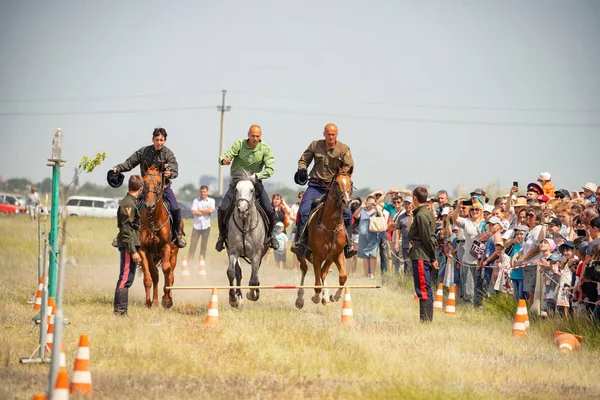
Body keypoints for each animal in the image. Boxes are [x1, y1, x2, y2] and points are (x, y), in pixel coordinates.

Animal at [139, 164, 178, 308]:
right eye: (144, 182)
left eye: (159, 182)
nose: (150, 205)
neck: (153, 220)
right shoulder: (143, 250)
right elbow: (149, 277)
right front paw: (149, 302)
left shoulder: (166, 246)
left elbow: (166, 270)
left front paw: (166, 300)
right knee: (155, 274)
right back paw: (155, 301)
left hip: (174, 251)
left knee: (171, 275)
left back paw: (168, 299)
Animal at [294, 166, 352, 310]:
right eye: (336, 183)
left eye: (351, 183)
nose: (346, 201)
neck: (330, 226)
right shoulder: (317, 256)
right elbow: (317, 284)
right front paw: (316, 297)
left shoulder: (337, 254)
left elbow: (343, 277)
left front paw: (334, 296)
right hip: (301, 254)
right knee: (305, 269)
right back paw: (300, 299)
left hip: (329, 257)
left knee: (323, 272)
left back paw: (326, 296)